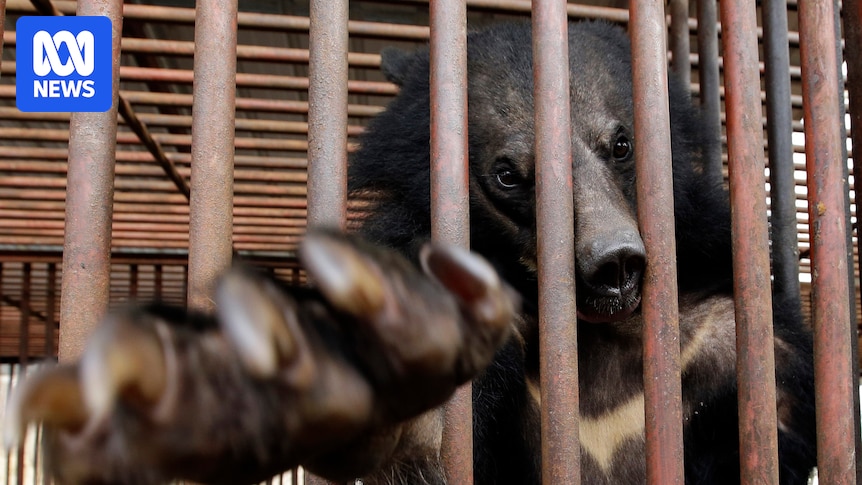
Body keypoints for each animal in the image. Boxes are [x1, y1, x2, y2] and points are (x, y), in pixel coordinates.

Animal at [4, 20, 816, 485]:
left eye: (621, 144)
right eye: (507, 175)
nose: (612, 263)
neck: (588, 336)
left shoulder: (728, 328)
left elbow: (775, 424)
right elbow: (416, 444)